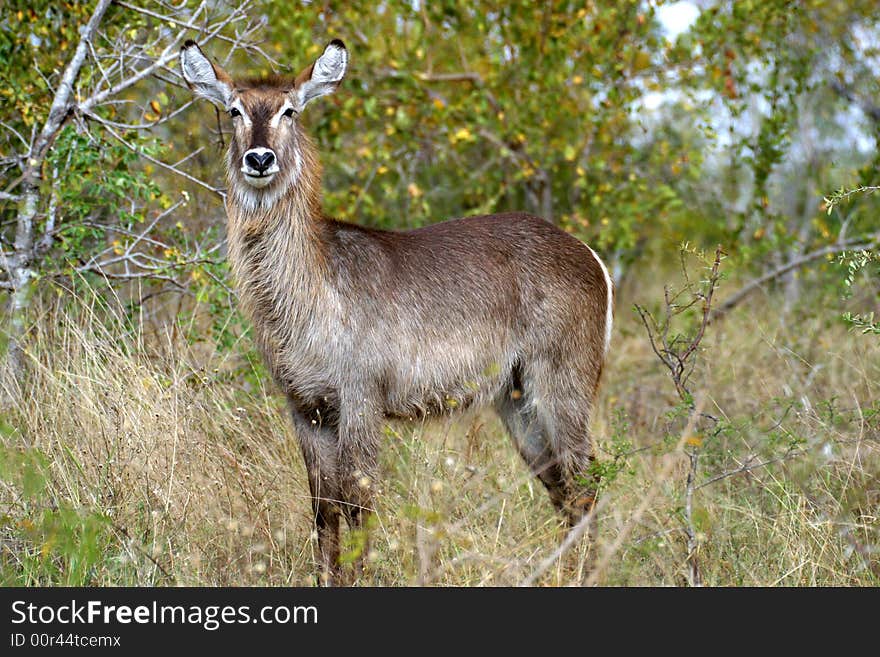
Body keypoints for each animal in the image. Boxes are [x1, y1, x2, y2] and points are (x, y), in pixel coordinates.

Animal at [182, 38, 616, 580]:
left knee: (586, 483)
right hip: (516, 398)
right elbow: (323, 511)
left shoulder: (360, 400)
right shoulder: (305, 408)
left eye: (289, 110)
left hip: (562, 384)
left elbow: (358, 506)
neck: (311, 291)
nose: (259, 158)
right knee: (563, 489)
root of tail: (589, 254)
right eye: (234, 110)